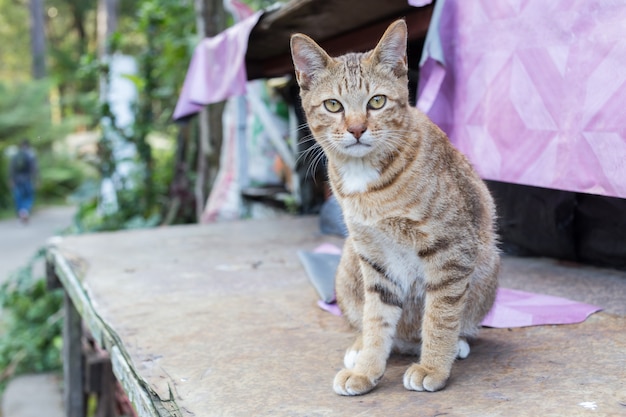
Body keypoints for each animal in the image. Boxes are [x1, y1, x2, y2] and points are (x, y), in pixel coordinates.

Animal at [290, 18, 500, 394]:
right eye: (333, 105)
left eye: (377, 101)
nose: (357, 129)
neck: (369, 181)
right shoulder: (375, 258)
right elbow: (377, 320)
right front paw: (367, 369)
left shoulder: (452, 249)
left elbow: (441, 315)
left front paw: (433, 366)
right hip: (349, 262)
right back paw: (361, 348)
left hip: (488, 263)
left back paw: (454, 345)